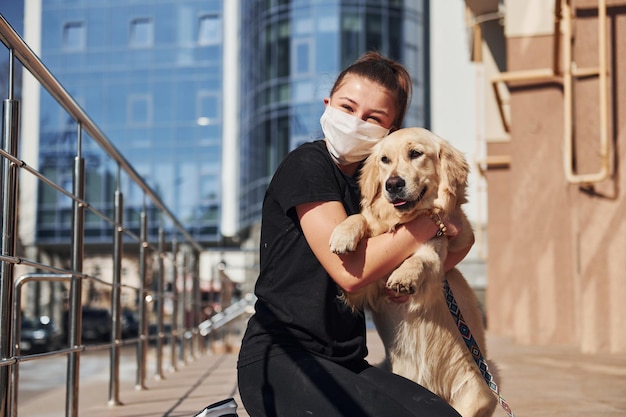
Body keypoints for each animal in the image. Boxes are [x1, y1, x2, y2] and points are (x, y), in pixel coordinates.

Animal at [330, 127, 494, 416]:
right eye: (384, 160)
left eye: (416, 153)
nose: (393, 184)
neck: (403, 221)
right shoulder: (363, 286)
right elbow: (361, 218)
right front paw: (343, 233)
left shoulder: (435, 253)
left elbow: (420, 261)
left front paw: (404, 276)